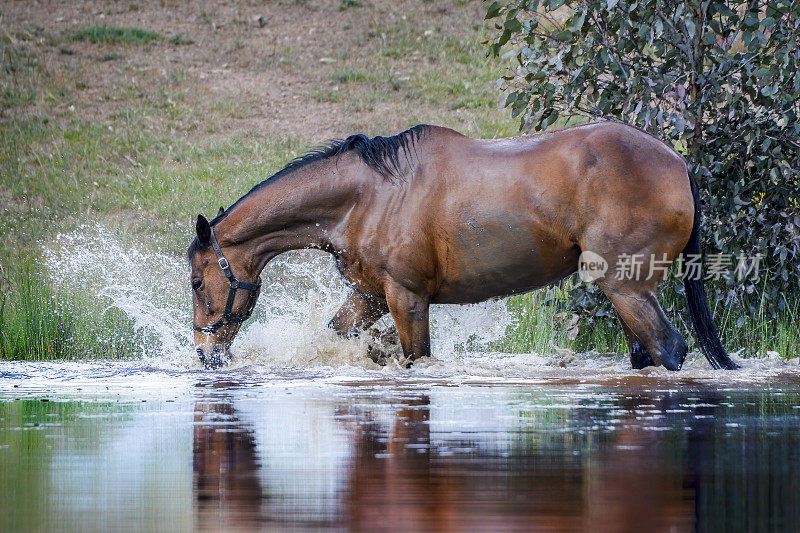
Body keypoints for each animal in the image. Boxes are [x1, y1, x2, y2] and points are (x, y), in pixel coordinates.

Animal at [188, 121, 736, 370]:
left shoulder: (407, 299)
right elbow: (349, 336)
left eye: (196, 282)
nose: (204, 353)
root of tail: (678, 163)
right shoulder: (368, 296)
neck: (371, 195)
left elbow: (416, 359)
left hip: (626, 288)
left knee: (669, 348)